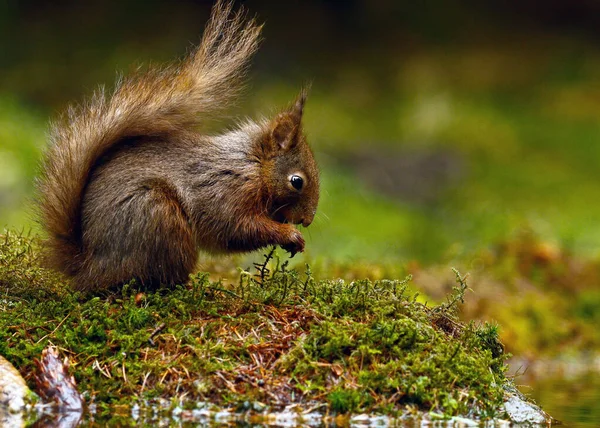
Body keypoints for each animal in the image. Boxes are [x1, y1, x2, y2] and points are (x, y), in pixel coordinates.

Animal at [37, 0, 318, 290]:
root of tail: (88, 266)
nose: (307, 220)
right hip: (158, 216)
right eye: (297, 181)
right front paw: (289, 235)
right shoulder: (227, 190)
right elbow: (236, 228)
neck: (253, 164)